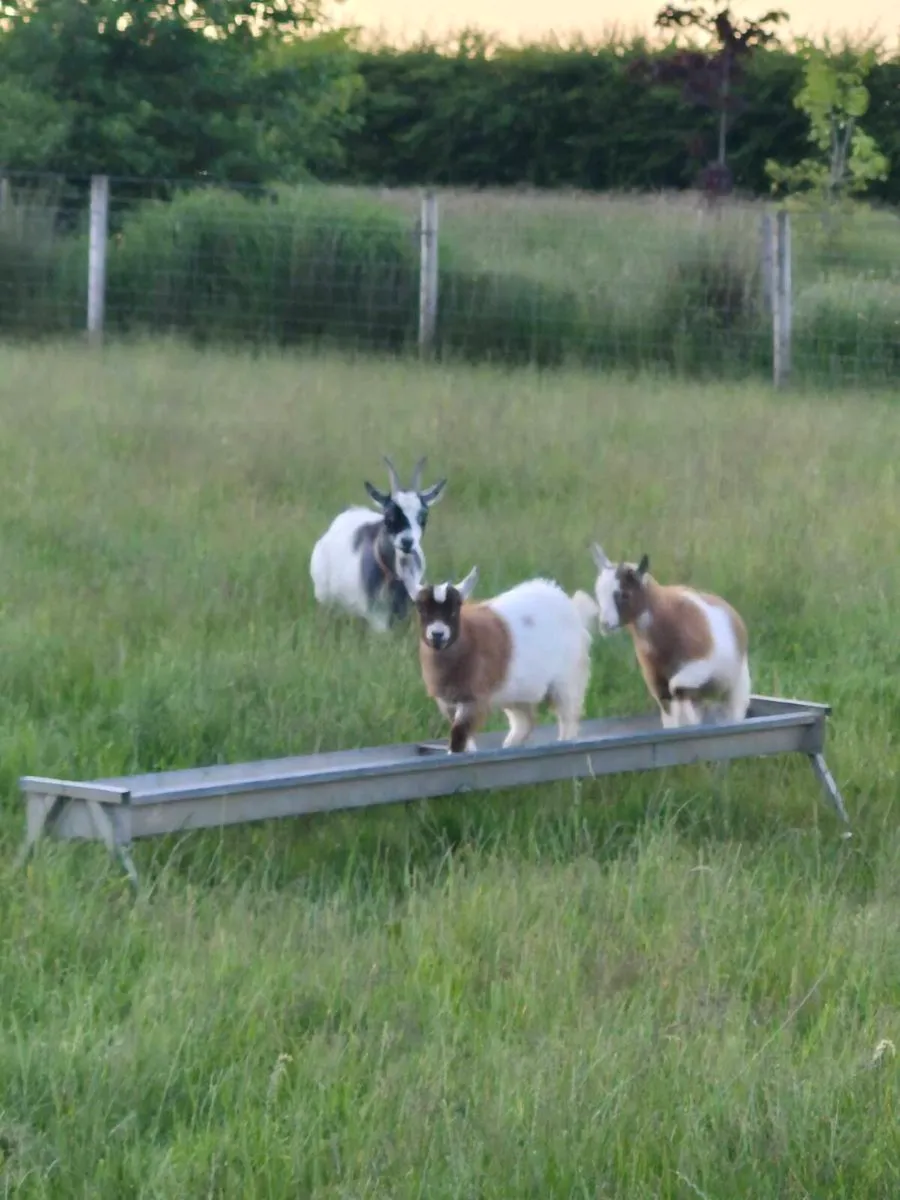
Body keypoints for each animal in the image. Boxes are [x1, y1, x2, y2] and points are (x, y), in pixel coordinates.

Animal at [401, 564, 595, 753]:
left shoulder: (473, 699)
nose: (437, 634)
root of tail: (572, 607)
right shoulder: (447, 702)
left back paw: (564, 741)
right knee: (525, 721)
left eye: (455, 609)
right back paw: (510, 745)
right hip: (517, 693)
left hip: (567, 681)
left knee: (568, 718)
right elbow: (465, 737)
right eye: (421, 609)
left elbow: (459, 735)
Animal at [584, 543, 751, 728]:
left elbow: (676, 689)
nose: (605, 625)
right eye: (598, 593)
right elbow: (671, 713)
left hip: (737, 686)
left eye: (624, 594)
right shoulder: (656, 681)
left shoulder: (700, 667)